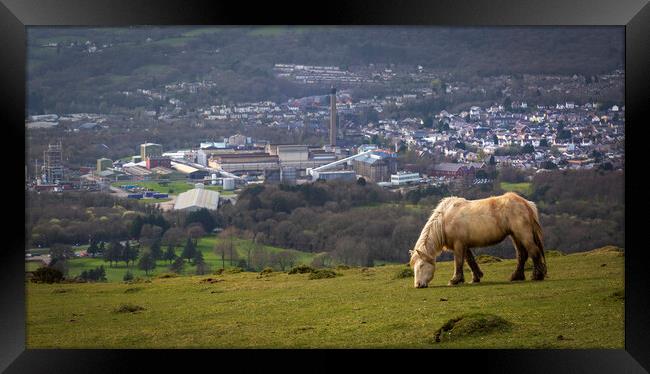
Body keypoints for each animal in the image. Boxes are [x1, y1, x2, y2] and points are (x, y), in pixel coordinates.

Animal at [408, 191, 544, 288]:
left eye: (421, 265)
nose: (418, 285)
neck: (444, 221)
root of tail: (526, 203)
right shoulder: (464, 245)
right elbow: (470, 261)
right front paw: (476, 278)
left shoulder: (458, 245)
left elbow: (458, 262)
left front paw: (455, 280)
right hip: (515, 235)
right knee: (522, 255)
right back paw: (516, 276)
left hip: (523, 234)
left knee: (534, 252)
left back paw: (536, 276)